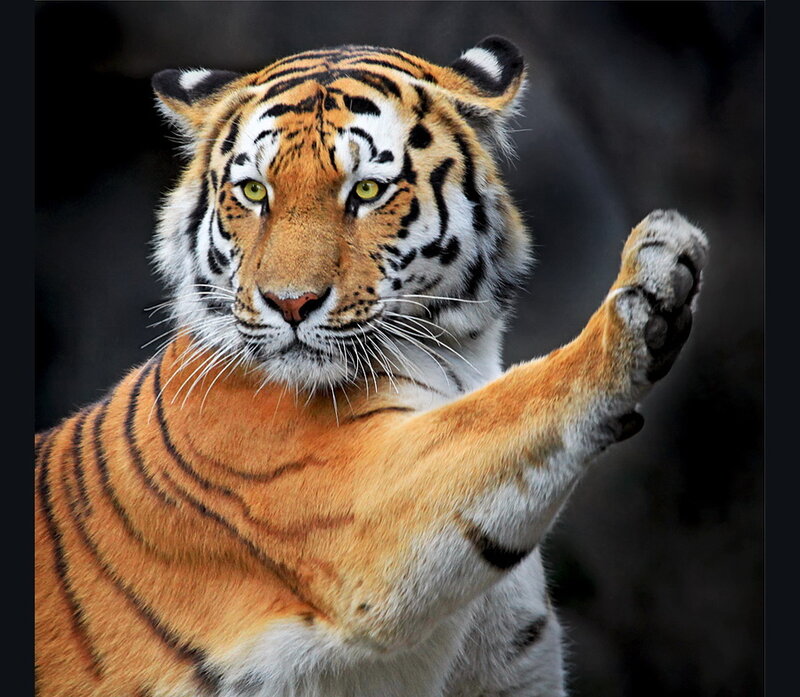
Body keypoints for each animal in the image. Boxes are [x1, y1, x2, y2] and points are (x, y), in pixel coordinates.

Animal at [35, 36, 709, 697]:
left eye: (365, 191)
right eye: (254, 192)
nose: (290, 303)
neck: (461, 355)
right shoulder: (359, 506)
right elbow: (509, 407)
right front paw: (653, 277)